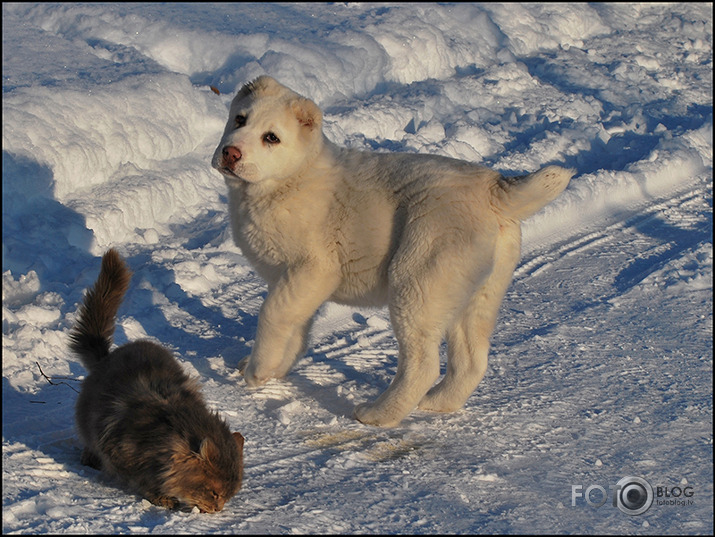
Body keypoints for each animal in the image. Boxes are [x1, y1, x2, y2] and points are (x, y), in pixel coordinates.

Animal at [70, 249, 243, 512]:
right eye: (214, 492)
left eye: (229, 495)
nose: (218, 509)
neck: (164, 434)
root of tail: (107, 357)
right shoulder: (119, 452)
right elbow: (142, 481)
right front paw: (162, 497)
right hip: (88, 422)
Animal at [210, 76, 572, 428]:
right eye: (239, 119)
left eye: (271, 137)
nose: (230, 153)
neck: (289, 180)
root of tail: (493, 191)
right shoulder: (294, 283)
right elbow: (294, 327)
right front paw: (275, 368)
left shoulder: (312, 269)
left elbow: (272, 314)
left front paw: (258, 371)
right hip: (476, 294)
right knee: (472, 360)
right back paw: (439, 403)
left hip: (417, 281)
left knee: (423, 364)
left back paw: (378, 414)